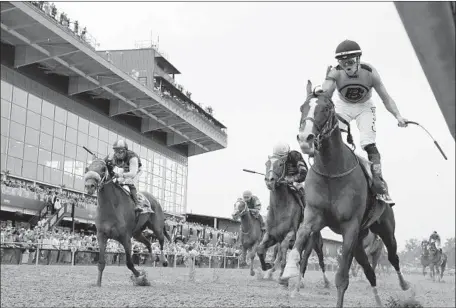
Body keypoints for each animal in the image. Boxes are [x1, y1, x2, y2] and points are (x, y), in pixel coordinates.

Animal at [83, 158, 171, 288]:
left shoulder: (126, 238)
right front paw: (98, 283)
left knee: (161, 241)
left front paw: (141, 277)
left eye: (103, 169)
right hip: (137, 233)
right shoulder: (101, 236)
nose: (89, 186)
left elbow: (129, 263)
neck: (111, 208)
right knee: (149, 243)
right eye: (88, 169)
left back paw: (164, 260)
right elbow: (101, 262)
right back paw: (153, 258)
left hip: (157, 227)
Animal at [256, 153, 328, 288]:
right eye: (266, 163)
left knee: (315, 262)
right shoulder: (271, 236)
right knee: (300, 260)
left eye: (280, 164)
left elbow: (284, 252)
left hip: (315, 245)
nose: (269, 180)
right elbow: (260, 249)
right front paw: (267, 266)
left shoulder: (291, 235)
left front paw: (283, 279)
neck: (280, 209)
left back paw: (324, 282)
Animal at [284, 80, 412, 306]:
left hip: (385, 230)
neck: (331, 172)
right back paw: (378, 300)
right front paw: (288, 271)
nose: (305, 138)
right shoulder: (313, 217)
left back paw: (405, 286)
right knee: (370, 271)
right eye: (302, 108)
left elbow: (342, 278)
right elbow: (300, 239)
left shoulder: (350, 227)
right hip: (360, 241)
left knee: (393, 258)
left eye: (326, 109)